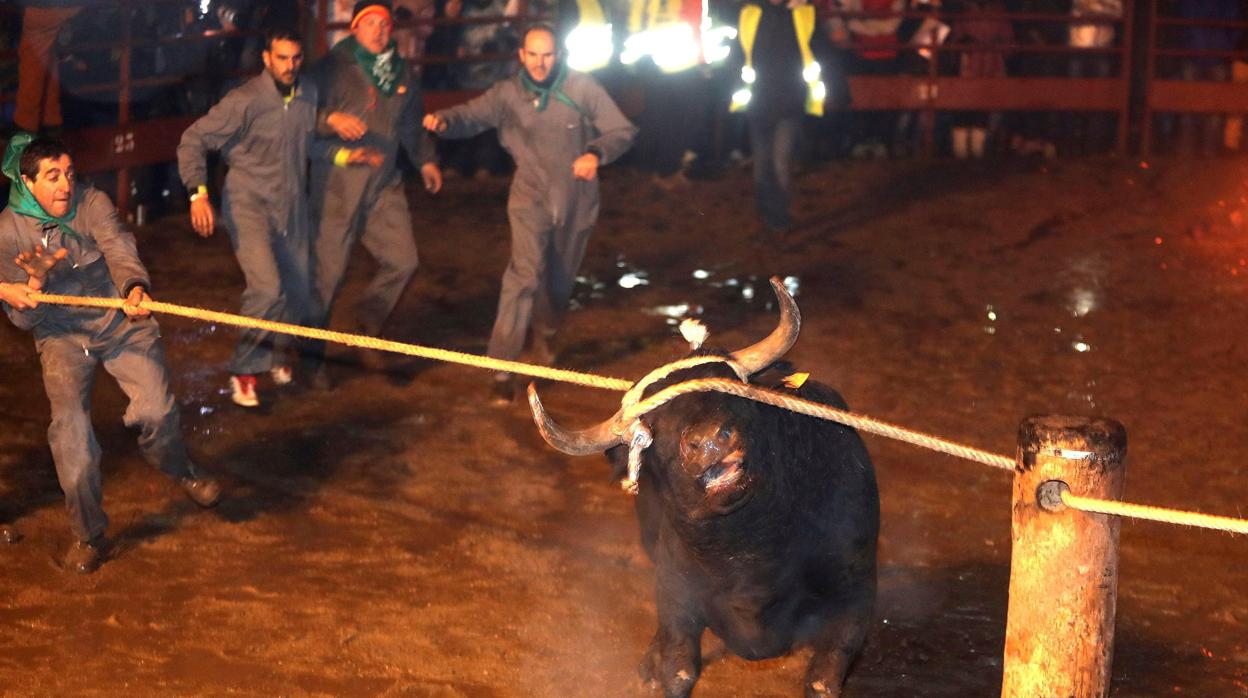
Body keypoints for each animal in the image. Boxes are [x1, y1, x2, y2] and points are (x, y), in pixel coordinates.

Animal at [526, 278, 878, 698]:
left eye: (730, 389)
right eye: (651, 427)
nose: (710, 441)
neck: (749, 554)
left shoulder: (854, 596)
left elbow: (823, 680)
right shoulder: (676, 597)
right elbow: (678, 670)